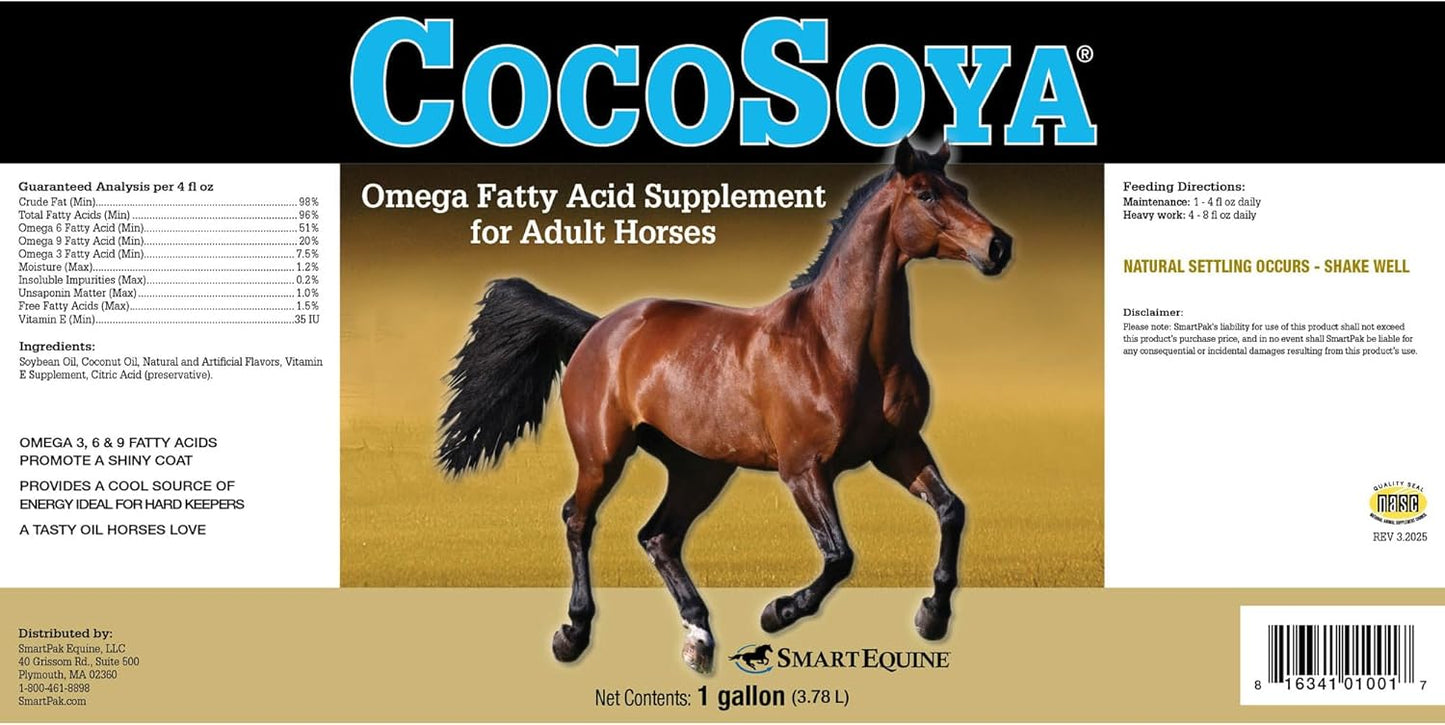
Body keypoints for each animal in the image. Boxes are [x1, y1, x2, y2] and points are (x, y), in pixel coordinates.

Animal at [438, 138, 1012, 674]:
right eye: (926, 194)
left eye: (962, 191)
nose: (998, 246)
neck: (838, 344)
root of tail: (599, 329)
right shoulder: (804, 470)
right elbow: (839, 556)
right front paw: (778, 612)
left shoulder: (899, 450)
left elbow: (951, 510)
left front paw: (932, 615)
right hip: (603, 456)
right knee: (579, 520)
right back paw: (573, 635)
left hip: (701, 468)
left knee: (659, 536)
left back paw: (699, 638)